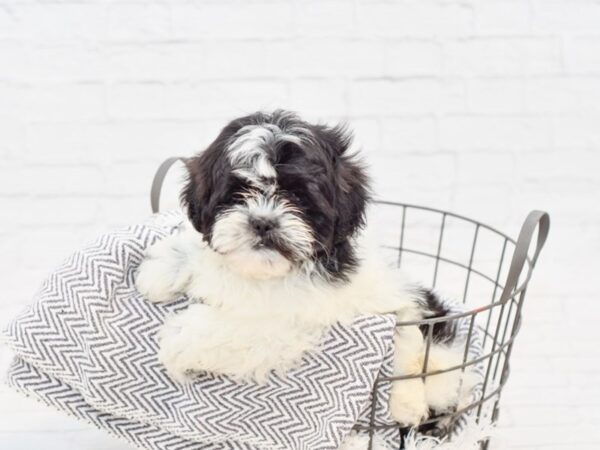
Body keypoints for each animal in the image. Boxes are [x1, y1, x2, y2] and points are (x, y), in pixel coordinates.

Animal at [135, 110, 468, 428]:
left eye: (296, 196)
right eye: (238, 192)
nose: (262, 222)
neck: (264, 274)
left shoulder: (295, 320)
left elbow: (244, 326)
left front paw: (180, 337)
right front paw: (162, 267)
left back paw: (408, 404)